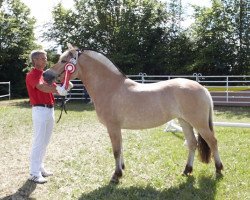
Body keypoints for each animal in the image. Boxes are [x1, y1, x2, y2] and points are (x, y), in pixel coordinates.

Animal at [42, 43, 223, 183]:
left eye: (64, 61)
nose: (46, 75)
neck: (110, 87)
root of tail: (202, 89)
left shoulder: (113, 127)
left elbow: (116, 150)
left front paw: (116, 175)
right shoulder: (117, 128)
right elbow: (120, 148)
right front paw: (122, 169)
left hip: (199, 123)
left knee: (213, 141)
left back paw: (219, 169)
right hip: (184, 121)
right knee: (192, 143)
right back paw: (187, 170)